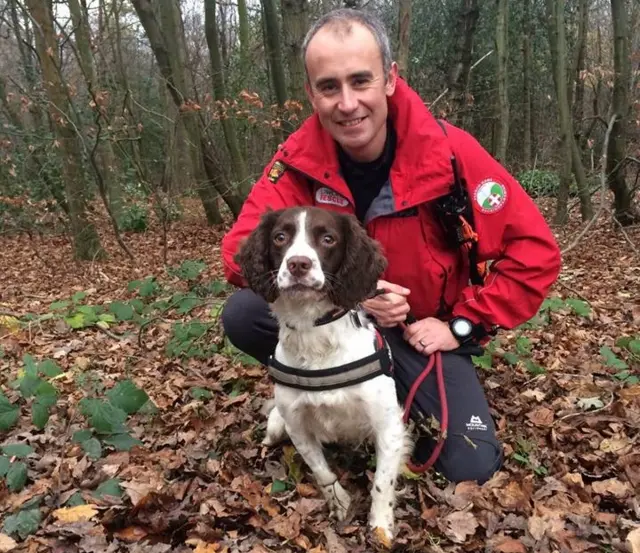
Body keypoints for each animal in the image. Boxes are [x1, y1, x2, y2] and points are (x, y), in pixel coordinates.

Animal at [235, 205, 410, 540]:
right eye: (280, 237)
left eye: (328, 239)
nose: (298, 264)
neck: (315, 337)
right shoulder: (297, 425)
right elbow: (321, 471)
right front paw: (340, 504)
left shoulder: (388, 425)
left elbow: (382, 482)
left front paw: (380, 527)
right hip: (277, 425)